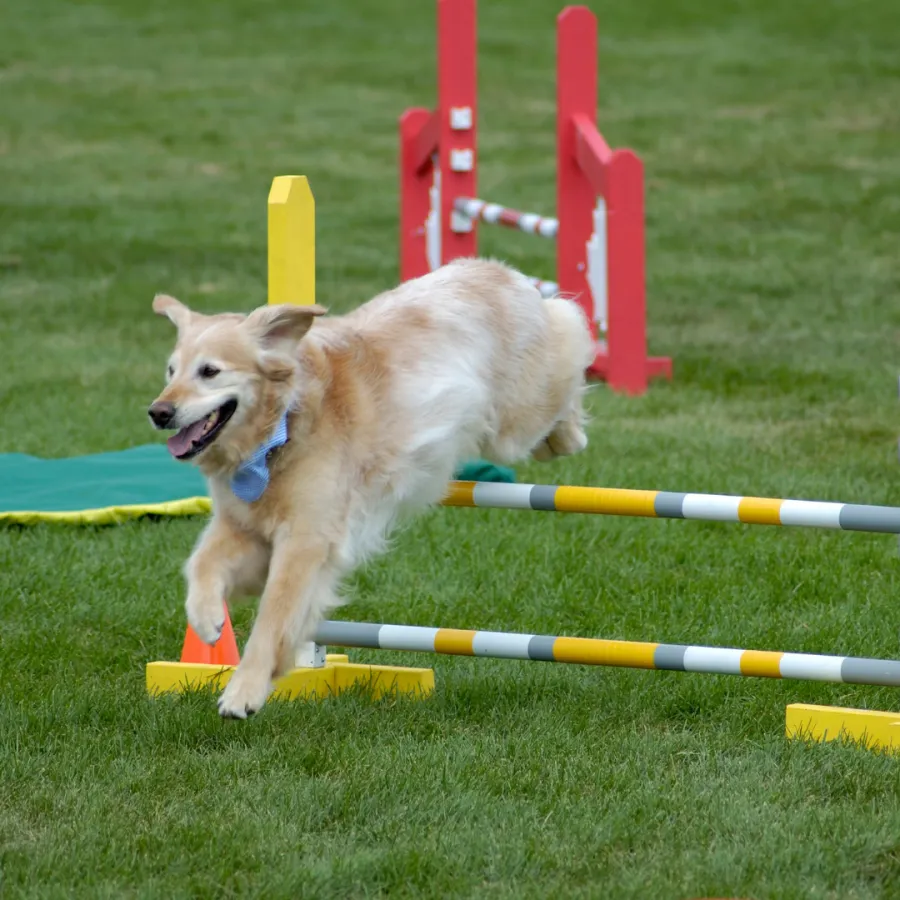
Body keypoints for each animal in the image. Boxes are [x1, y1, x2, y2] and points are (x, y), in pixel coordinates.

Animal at [148, 258, 593, 718]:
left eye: (209, 371)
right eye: (171, 371)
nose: (157, 412)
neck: (280, 427)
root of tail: (490, 268)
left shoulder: (307, 538)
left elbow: (274, 614)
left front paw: (245, 690)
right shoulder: (243, 525)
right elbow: (200, 562)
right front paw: (206, 621)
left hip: (516, 417)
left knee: (568, 337)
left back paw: (569, 434)